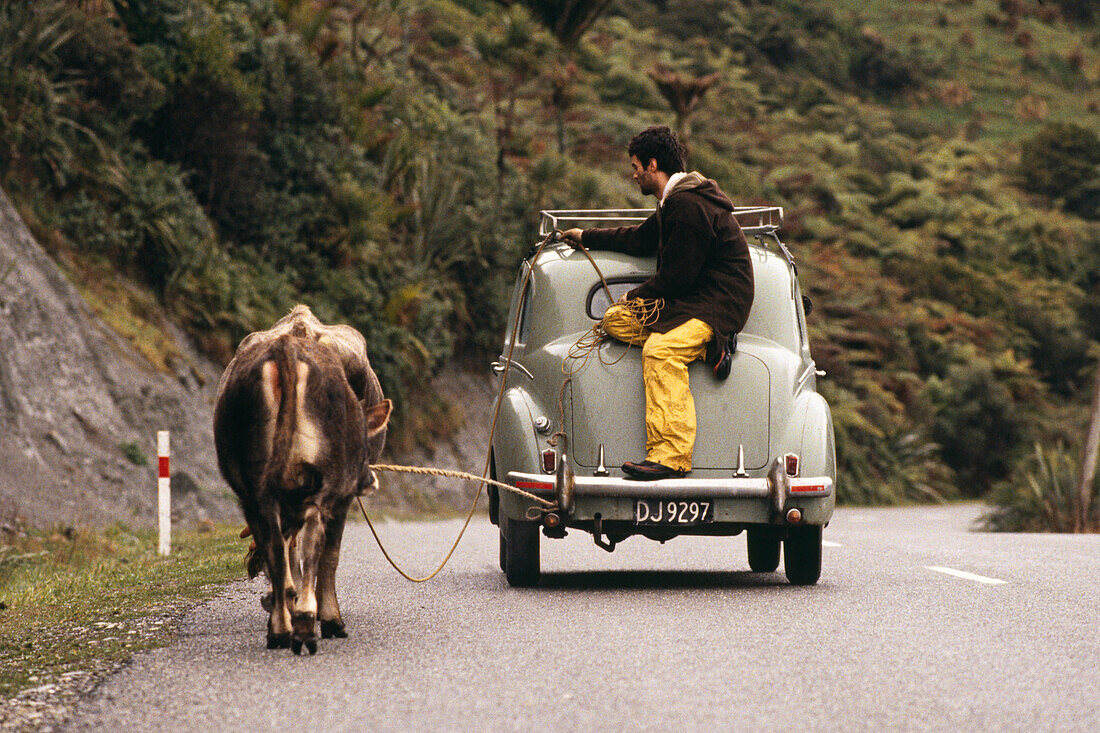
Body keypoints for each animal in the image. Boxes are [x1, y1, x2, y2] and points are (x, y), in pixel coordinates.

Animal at [214, 301, 391, 651]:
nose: (369, 481)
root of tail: (293, 336)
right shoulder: (342, 495)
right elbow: (329, 554)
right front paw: (329, 618)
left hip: (253, 490)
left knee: (276, 546)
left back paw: (281, 626)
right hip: (322, 486)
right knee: (310, 541)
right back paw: (309, 621)